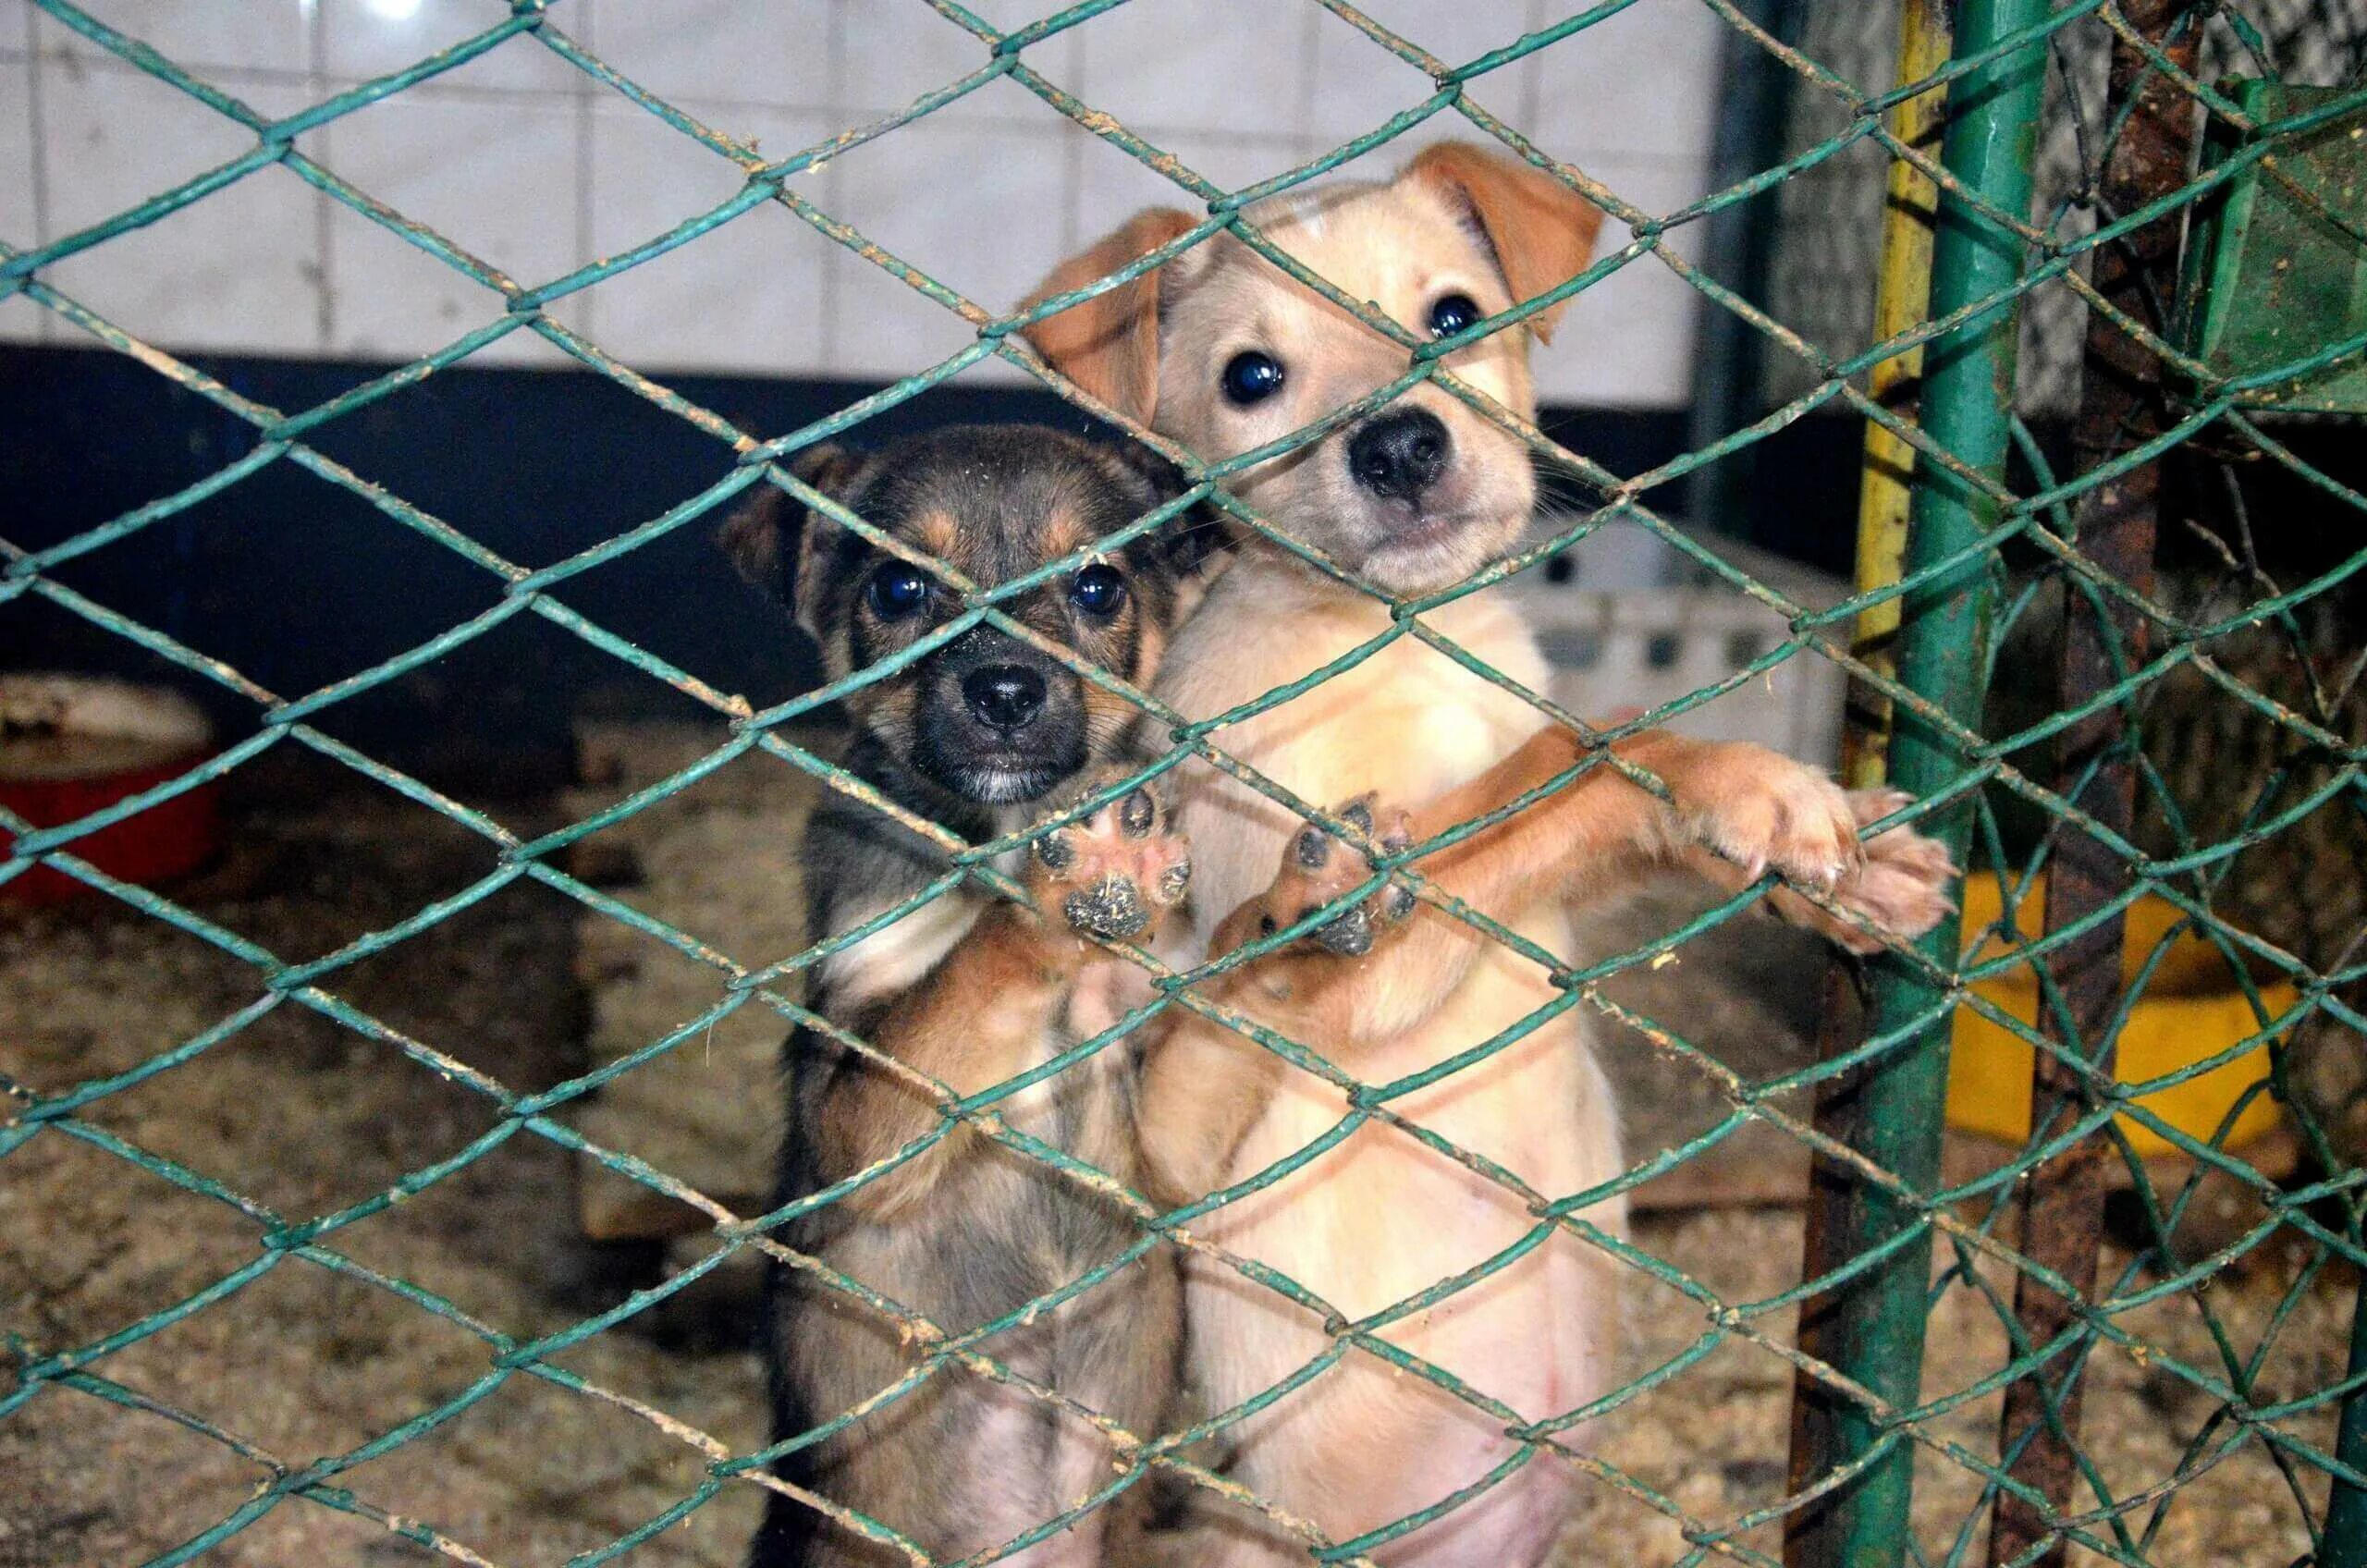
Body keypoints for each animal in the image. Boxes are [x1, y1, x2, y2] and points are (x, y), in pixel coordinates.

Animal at [719, 426, 1211, 1568]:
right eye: (900, 588)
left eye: (1096, 586)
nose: (1004, 692)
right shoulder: (854, 1106)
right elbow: (960, 984)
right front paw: (1064, 891)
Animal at [1027, 141, 1950, 1562]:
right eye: (1252, 377)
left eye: (1455, 314)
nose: (1403, 444)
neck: (1400, 639)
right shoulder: (1359, 929)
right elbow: (1577, 762)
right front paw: (1747, 783)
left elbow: (1564, 797)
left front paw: (1852, 872)